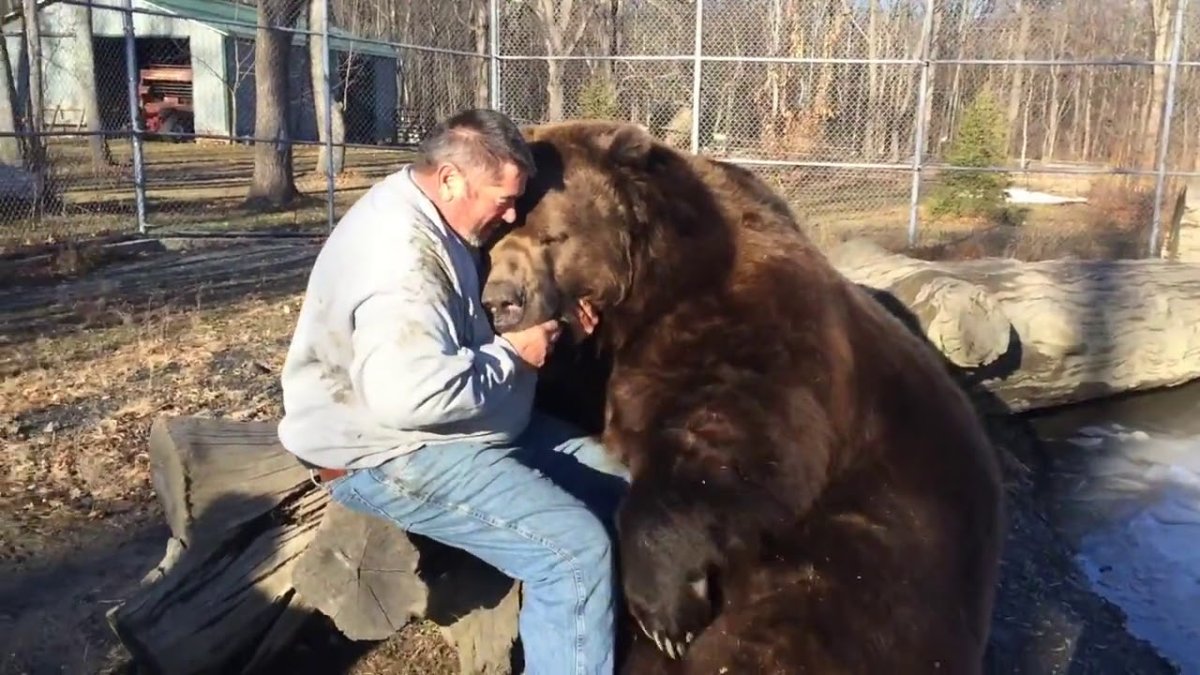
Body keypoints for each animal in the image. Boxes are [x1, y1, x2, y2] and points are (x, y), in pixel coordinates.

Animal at [480, 119, 1006, 675]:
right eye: (494, 237)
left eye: (552, 235)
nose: (502, 302)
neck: (648, 293)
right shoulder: (595, 366)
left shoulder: (751, 327)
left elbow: (738, 444)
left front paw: (668, 612)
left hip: (864, 566)